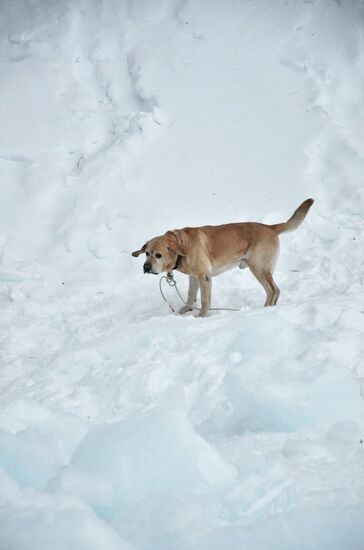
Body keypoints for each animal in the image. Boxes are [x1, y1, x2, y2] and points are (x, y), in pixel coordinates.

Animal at [132, 201, 314, 316]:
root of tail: (271, 227)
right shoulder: (194, 277)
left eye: (158, 255)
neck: (183, 246)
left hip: (259, 268)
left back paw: (264, 310)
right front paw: (187, 309)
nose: (146, 267)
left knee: (273, 290)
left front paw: (201, 315)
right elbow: (191, 295)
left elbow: (205, 300)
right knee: (275, 291)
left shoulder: (204, 276)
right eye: (146, 253)